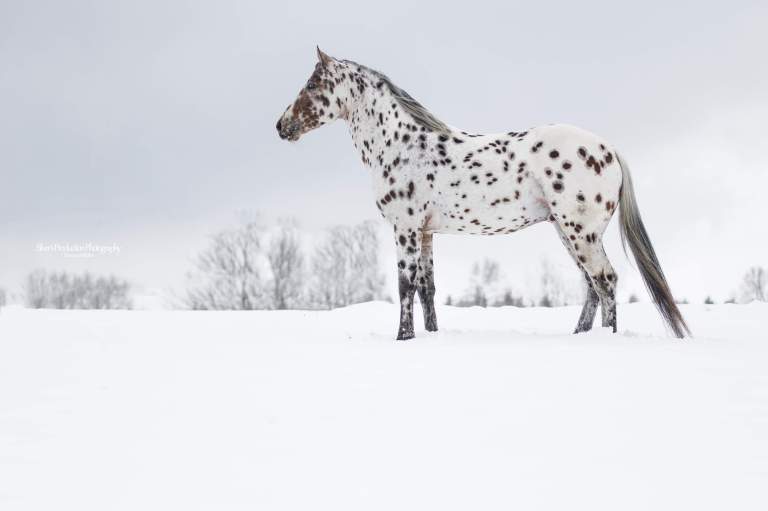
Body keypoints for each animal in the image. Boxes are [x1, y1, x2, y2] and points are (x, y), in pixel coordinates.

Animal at [277, 48, 690, 340]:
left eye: (312, 85)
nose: (282, 125)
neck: (403, 145)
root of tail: (608, 149)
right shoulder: (425, 233)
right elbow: (427, 289)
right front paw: (428, 335)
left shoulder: (405, 228)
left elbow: (405, 284)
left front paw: (402, 337)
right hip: (567, 232)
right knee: (592, 284)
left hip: (580, 232)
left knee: (604, 280)